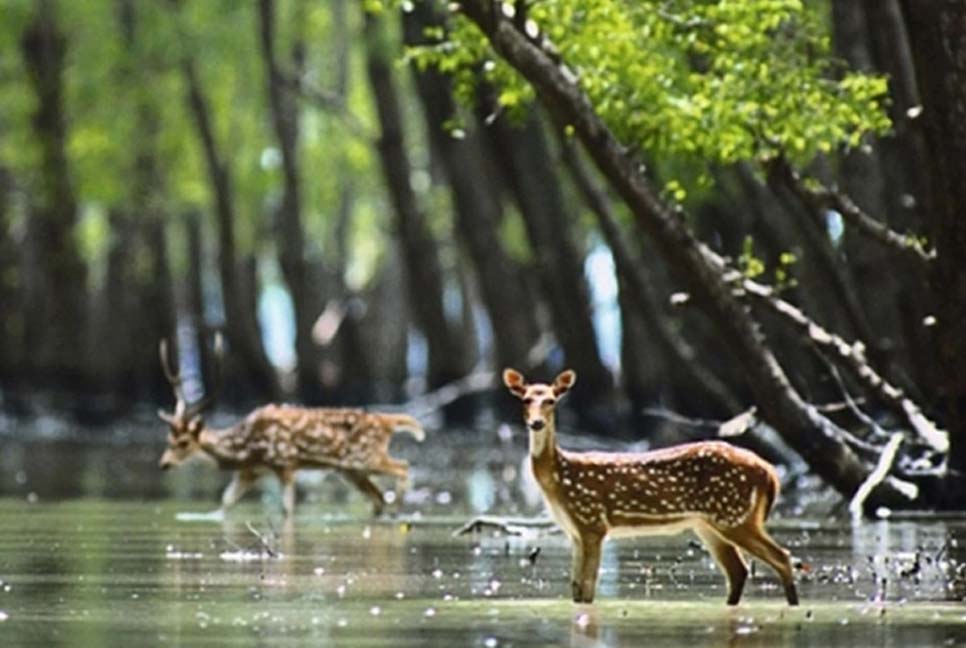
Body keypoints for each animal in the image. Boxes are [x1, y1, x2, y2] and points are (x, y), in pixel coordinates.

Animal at [158, 340, 424, 516]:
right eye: (168, 440)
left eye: (183, 442)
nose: (164, 464)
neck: (246, 447)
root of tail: (387, 421)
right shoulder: (250, 471)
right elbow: (225, 502)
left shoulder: (285, 462)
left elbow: (287, 510)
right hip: (351, 470)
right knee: (378, 498)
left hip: (365, 457)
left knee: (403, 467)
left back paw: (397, 508)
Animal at [502, 370, 796, 608]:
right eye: (525, 399)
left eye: (551, 400)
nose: (536, 423)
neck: (559, 478)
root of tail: (769, 472)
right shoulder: (574, 531)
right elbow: (576, 589)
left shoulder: (592, 521)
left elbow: (587, 589)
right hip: (710, 523)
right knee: (739, 571)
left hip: (734, 514)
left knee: (781, 557)